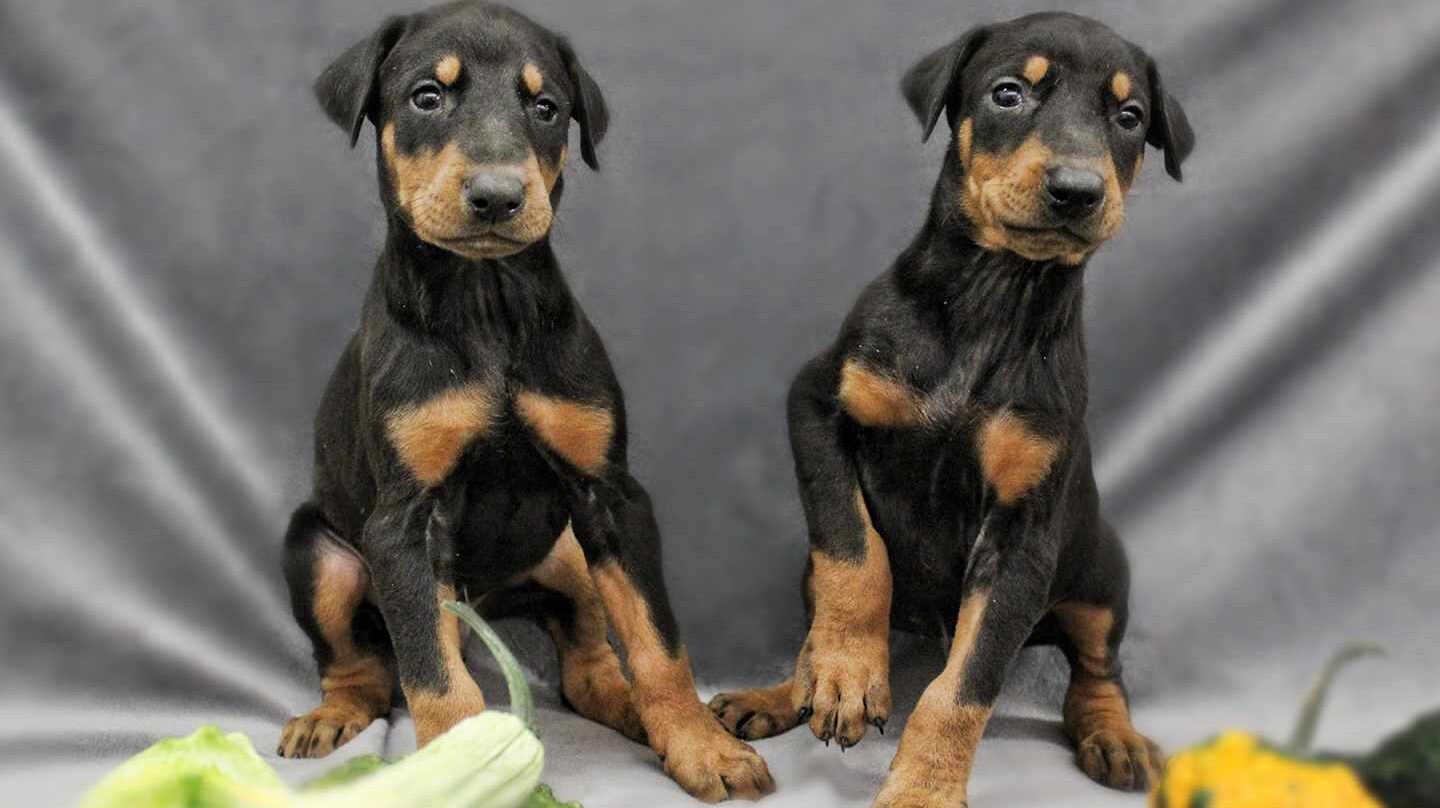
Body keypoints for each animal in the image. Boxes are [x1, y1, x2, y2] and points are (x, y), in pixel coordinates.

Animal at [280, 3, 777, 800]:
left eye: (546, 109)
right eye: (427, 97)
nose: (497, 196)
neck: (486, 304)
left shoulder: (612, 496)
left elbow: (658, 641)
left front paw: (704, 748)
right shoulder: (404, 523)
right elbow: (434, 674)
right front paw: (455, 768)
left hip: (570, 554)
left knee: (588, 664)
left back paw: (634, 710)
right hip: (319, 557)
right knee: (360, 664)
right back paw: (332, 715)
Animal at [708, 12, 1192, 806]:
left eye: (1128, 117)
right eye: (1007, 94)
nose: (1078, 190)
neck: (995, 296)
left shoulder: (1022, 535)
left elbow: (966, 684)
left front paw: (923, 789)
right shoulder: (817, 401)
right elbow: (854, 555)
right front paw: (848, 676)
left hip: (1101, 579)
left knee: (1100, 669)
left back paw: (1114, 737)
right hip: (807, 569)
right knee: (816, 618)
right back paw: (787, 693)